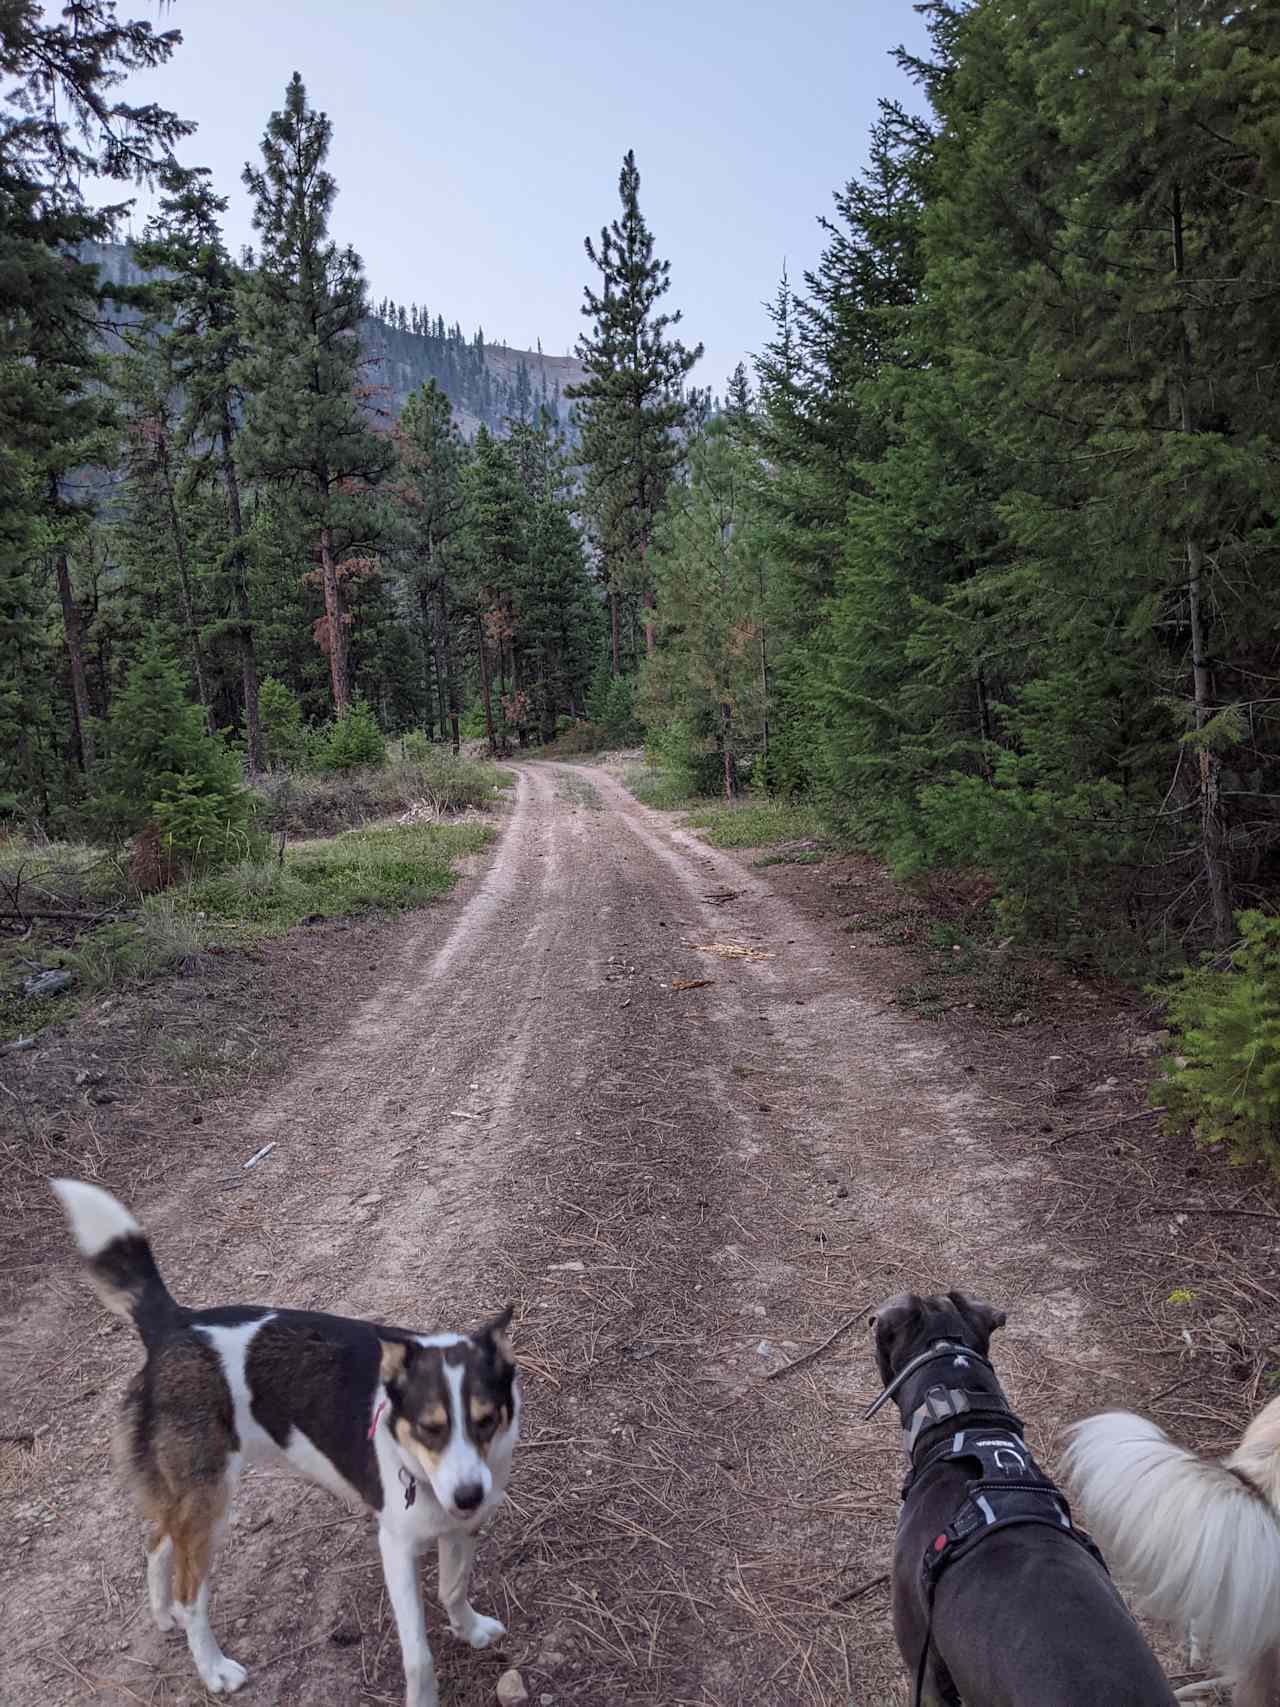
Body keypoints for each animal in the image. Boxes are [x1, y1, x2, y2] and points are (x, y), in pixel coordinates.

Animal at [50, 1181, 522, 1700]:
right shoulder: (396, 1547)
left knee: (157, 1541)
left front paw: (469, 1629)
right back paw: (213, 1668)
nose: (468, 1495)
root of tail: (176, 1323)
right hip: (209, 1501)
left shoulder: (461, 1527)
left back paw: (162, 1613)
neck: (418, 1465)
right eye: (430, 1428)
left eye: (485, 1420)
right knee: (190, 1591)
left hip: (185, 1493)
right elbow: (418, 1656)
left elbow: (453, 1588)